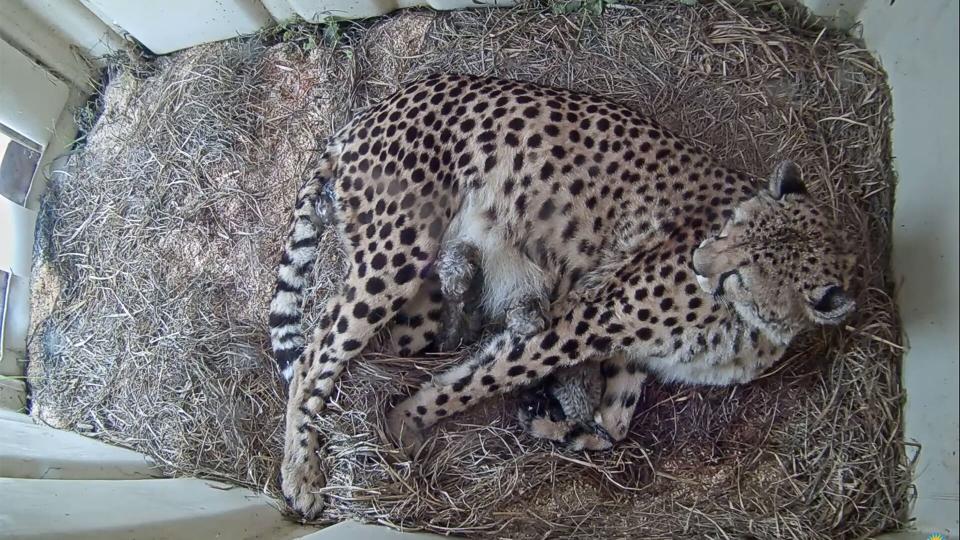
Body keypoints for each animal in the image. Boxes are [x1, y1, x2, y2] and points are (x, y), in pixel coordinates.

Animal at [268, 74, 856, 516]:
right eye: (727, 230)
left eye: (743, 270)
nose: (699, 263)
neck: (754, 323)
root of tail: (381, 103)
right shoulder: (585, 319)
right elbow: (481, 379)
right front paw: (405, 422)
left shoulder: (626, 347)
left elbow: (615, 424)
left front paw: (559, 426)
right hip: (398, 253)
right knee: (317, 349)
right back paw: (301, 474)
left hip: (424, 293)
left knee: (386, 340)